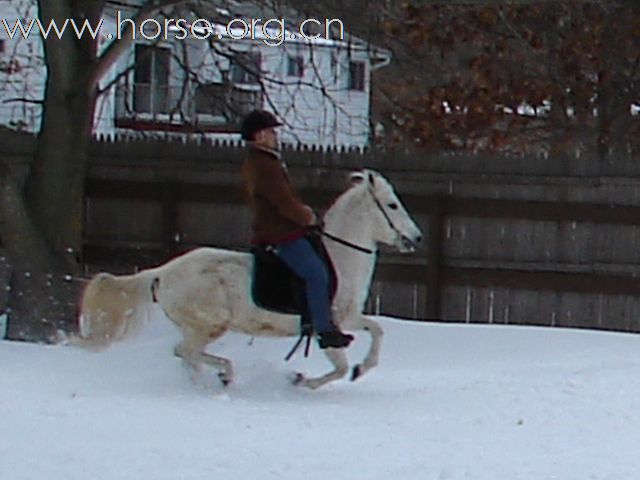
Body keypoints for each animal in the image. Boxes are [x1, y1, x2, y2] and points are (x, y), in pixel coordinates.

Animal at [79, 169, 420, 390]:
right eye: (392, 205)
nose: (416, 237)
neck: (339, 259)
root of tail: (163, 272)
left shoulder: (349, 319)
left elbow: (376, 332)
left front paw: (362, 369)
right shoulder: (331, 325)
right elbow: (340, 367)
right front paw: (300, 380)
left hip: (197, 327)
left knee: (185, 355)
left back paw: (212, 380)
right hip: (207, 326)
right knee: (185, 352)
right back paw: (221, 377)